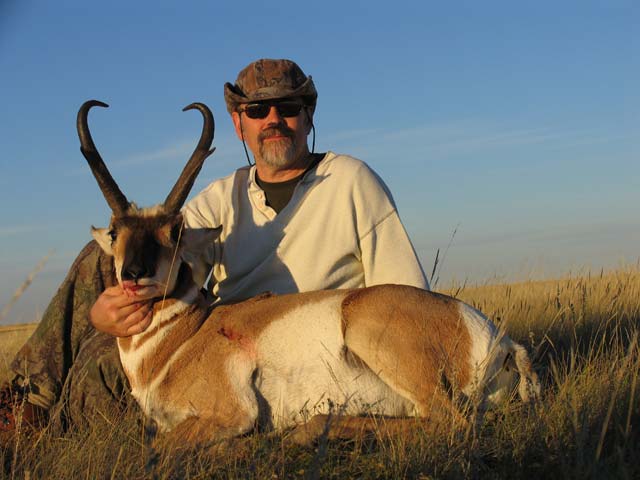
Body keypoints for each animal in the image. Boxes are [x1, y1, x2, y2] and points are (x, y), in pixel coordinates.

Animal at [79, 99, 540, 444]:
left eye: (174, 232)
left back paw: (304, 431)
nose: (134, 274)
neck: (184, 336)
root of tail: (500, 339)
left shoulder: (230, 415)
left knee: (450, 424)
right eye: (116, 231)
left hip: (370, 332)